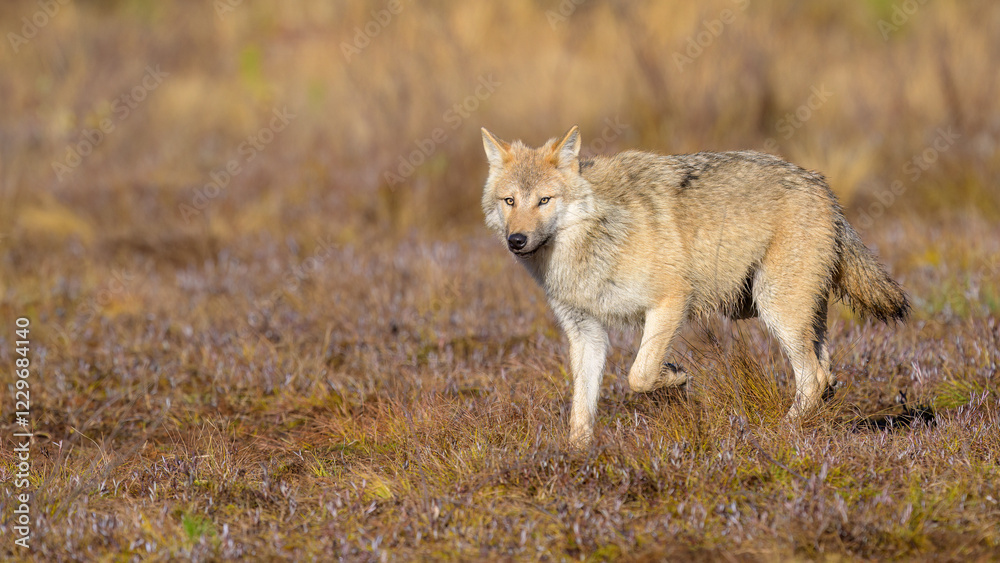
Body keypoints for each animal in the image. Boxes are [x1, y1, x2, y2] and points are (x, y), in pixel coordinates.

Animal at [480, 125, 909, 447]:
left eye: (544, 200)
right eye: (510, 201)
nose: (516, 240)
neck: (592, 240)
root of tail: (823, 187)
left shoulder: (671, 300)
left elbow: (639, 375)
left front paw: (675, 376)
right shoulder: (585, 331)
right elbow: (581, 410)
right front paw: (576, 456)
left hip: (774, 308)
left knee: (814, 378)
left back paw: (779, 432)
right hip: (791, 313)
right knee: (827, 375)